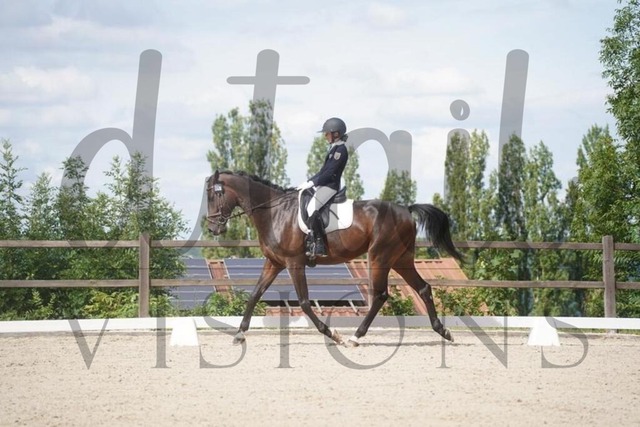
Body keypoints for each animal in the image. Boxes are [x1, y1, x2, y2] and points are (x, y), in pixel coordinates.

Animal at [205, 170, 464, 346]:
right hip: (401, 259)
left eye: (212, 196)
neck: (275, 212)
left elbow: (304, 302)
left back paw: (355, 337)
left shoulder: (294, 263)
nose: (212, 228)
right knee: (423, 288)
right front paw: (239, 334)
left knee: (381, 295)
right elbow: (254, 295)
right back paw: (443, 331)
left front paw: (333, 334)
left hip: (380, 257)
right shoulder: (274, 263)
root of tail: (406, 210)